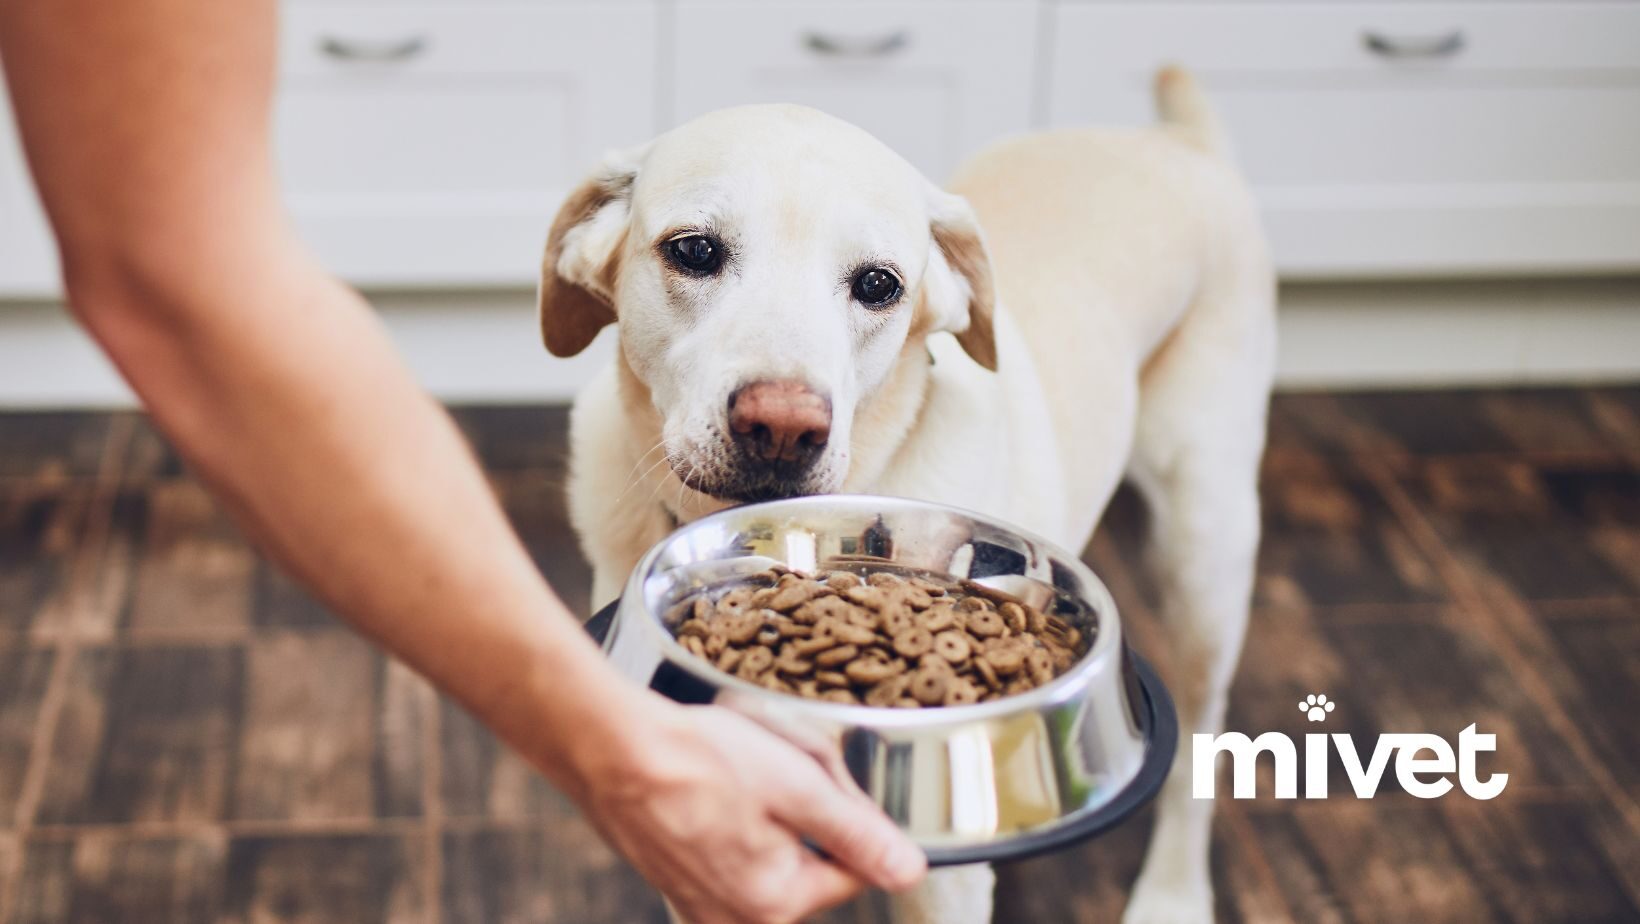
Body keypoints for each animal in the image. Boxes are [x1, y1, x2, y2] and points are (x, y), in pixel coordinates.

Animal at [544, 68, 1272, 919]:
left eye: (878, 284)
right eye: (693, 250)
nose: (782, 428)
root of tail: (1180, 142)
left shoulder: (944, 884)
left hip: (1205, 559)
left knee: (1199, 748)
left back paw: (1173, 893)